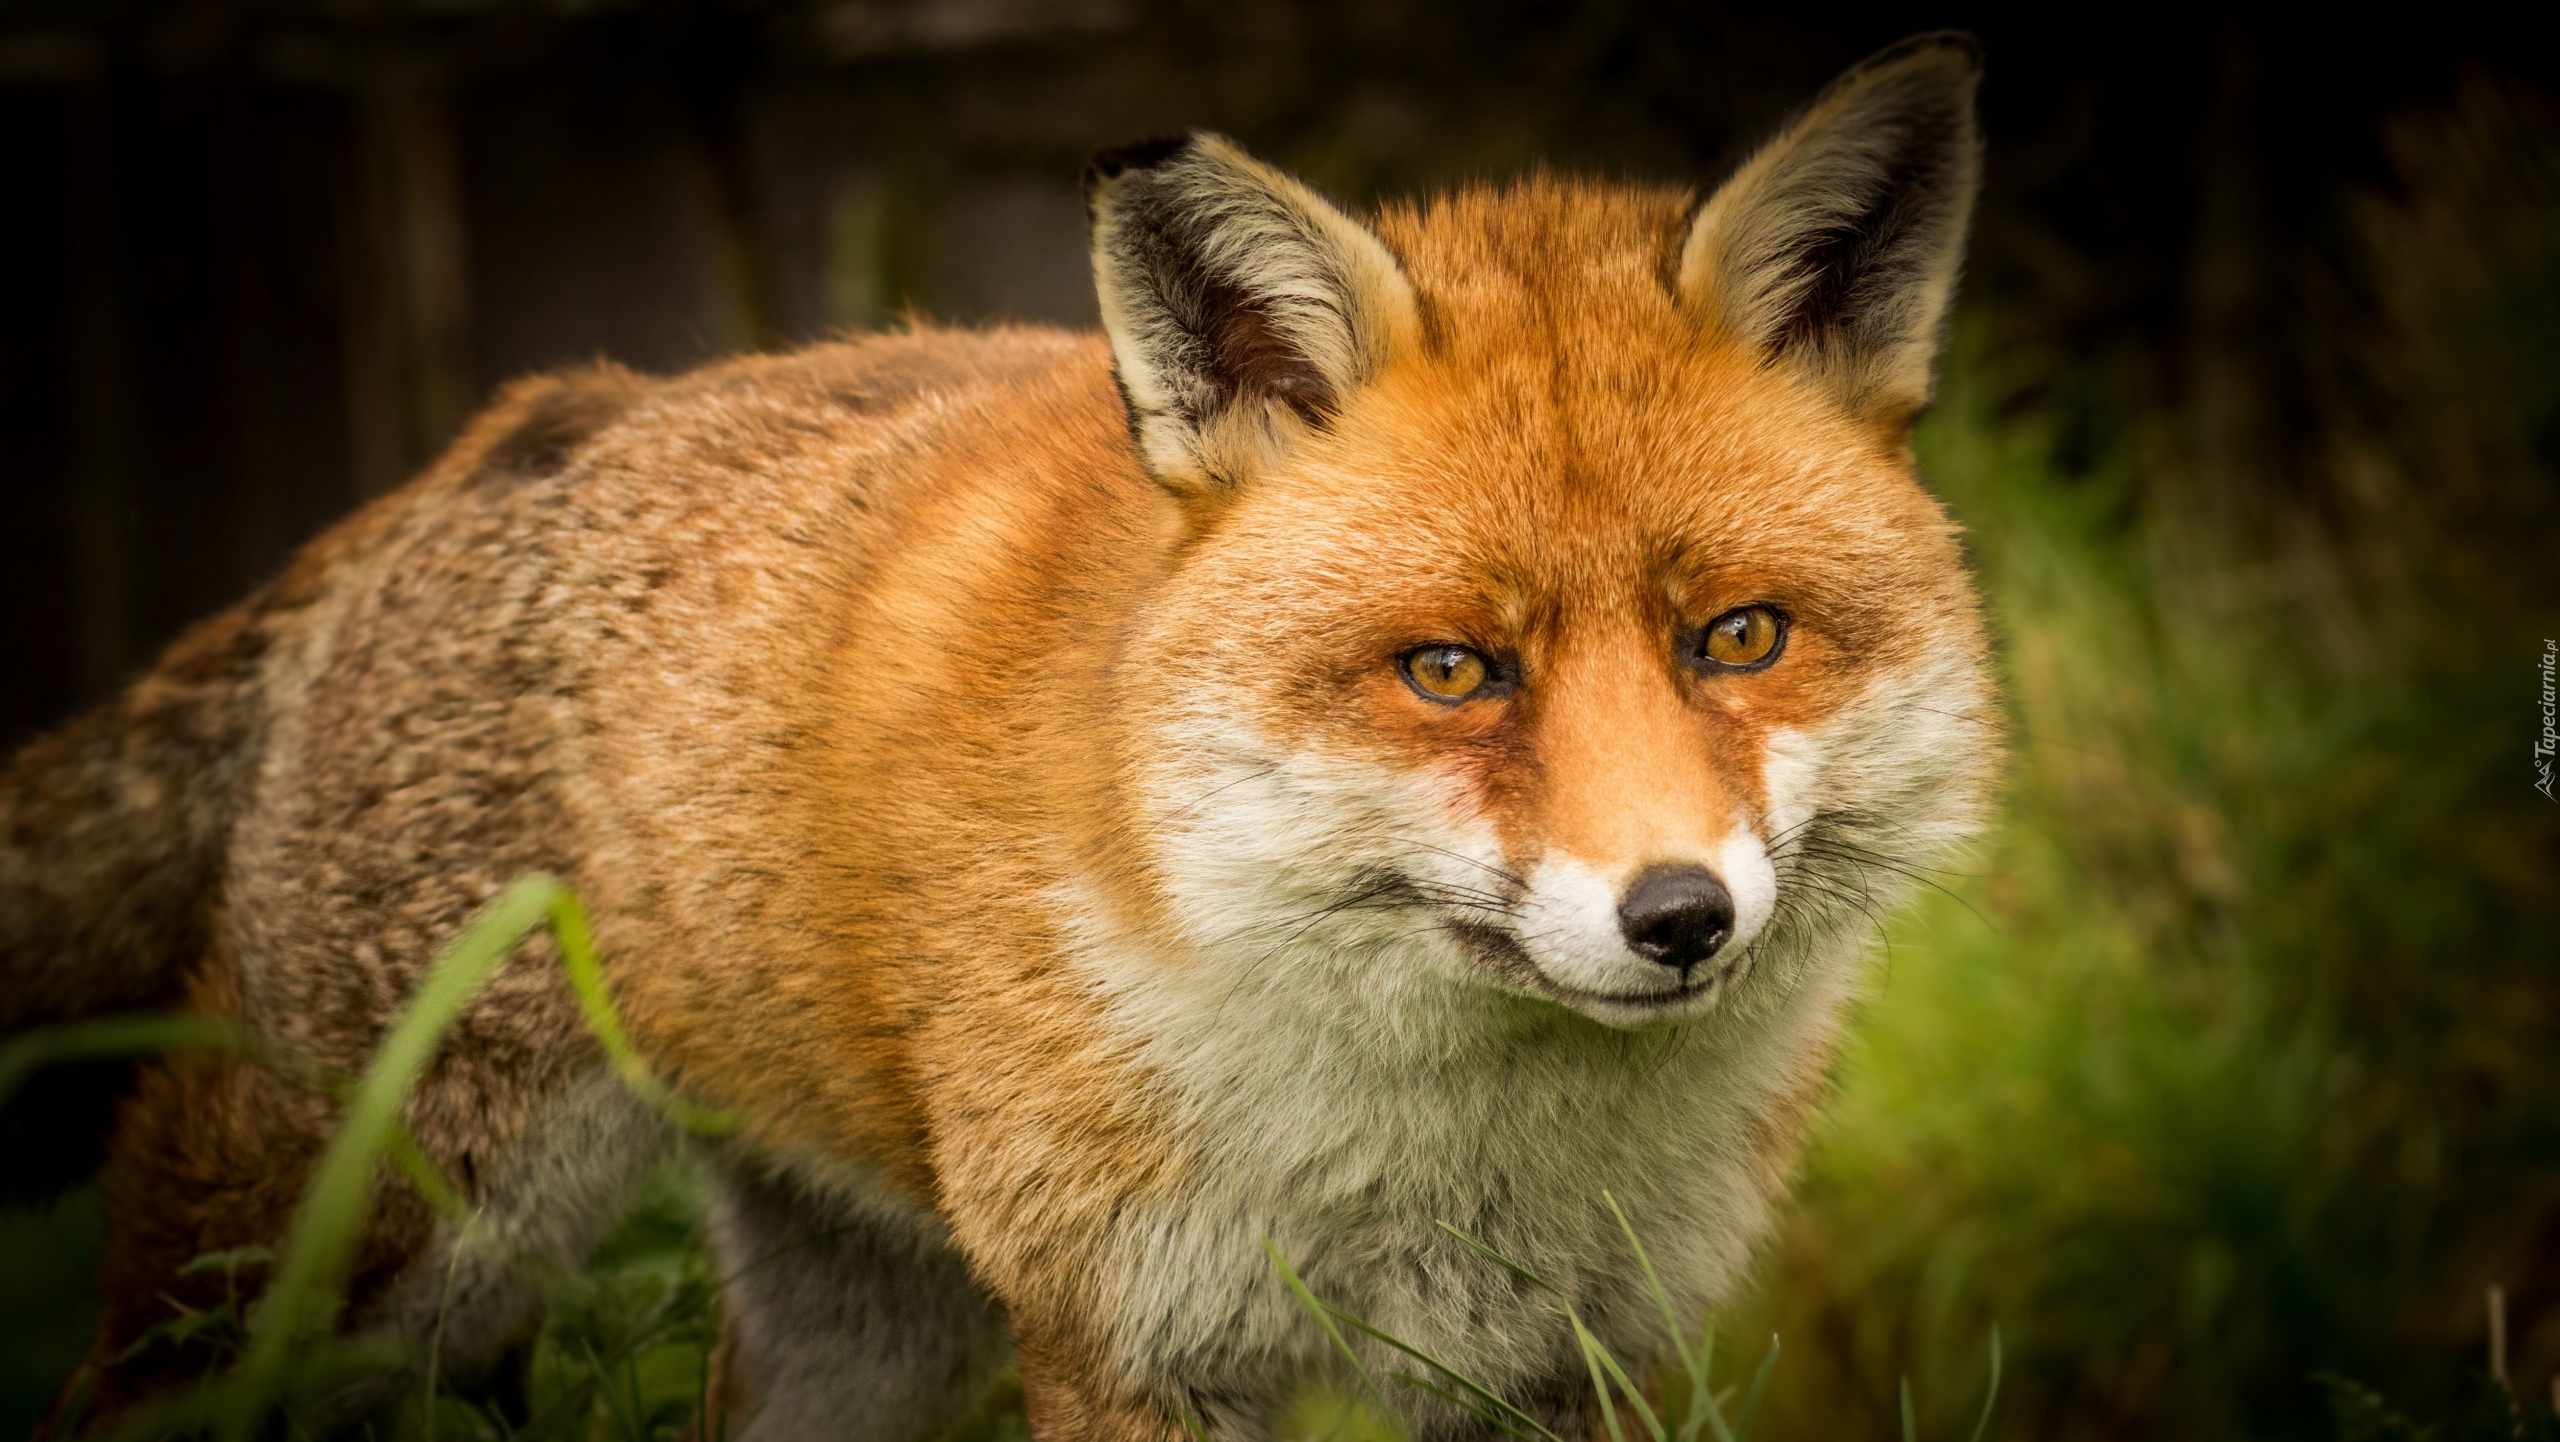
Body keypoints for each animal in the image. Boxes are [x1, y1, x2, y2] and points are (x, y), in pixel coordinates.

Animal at [0, 33, 1996, 1442]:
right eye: (1450, 670)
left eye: (1738, 638)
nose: (1680, 917)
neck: (1438, 1149)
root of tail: (525, 419)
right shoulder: (1127, 1338)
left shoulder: (1570, 1359)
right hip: (336, 1250)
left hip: (861, 1340)